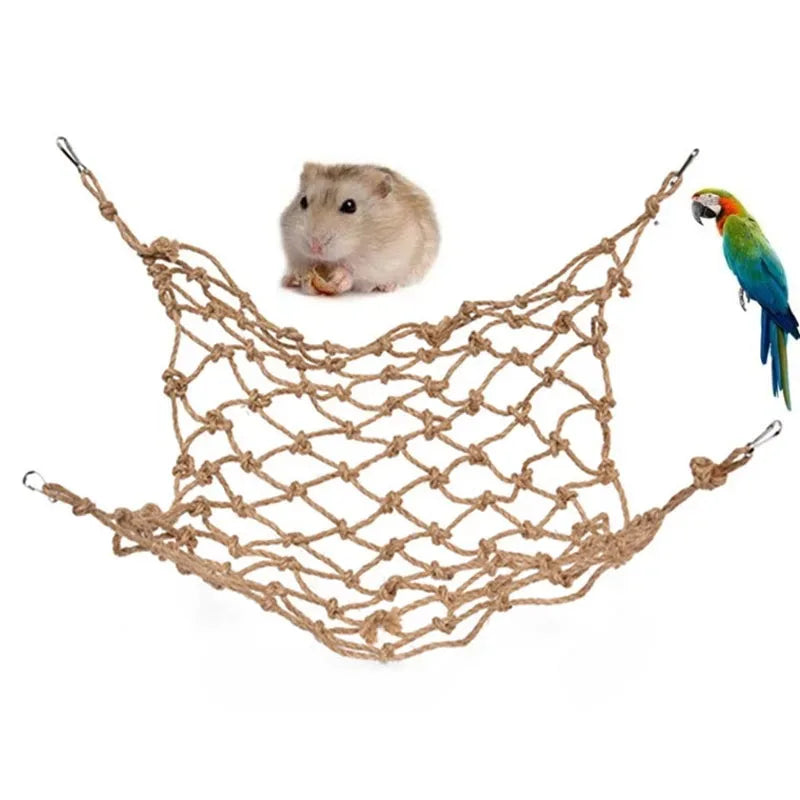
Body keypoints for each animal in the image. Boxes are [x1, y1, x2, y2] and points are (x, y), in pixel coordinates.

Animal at [280, 162, 440, 294]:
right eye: (303, 202)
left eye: (350, 206)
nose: (315, 247)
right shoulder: (294, 250)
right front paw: (300, 277)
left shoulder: (381, 260)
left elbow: (357, 271)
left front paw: (339, 277)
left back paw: (387, 286)